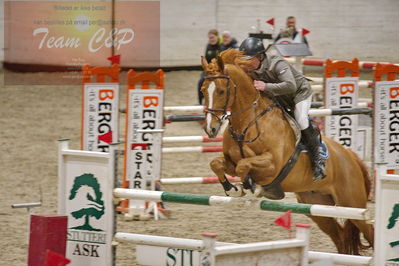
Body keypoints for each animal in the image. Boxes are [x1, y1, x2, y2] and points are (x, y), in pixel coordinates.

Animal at [202, 48, 374, 255]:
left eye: (221, 90)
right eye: (203, 90)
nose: (210, 129)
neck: (248, 123)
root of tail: (351, 156)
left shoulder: (272, 165)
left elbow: (244, 165)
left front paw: (251, 185)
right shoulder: (230, 161)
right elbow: (217, 163)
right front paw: (232, 188)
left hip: (353, 203)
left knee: (370, 232)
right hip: (317, 205)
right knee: (340, 239)